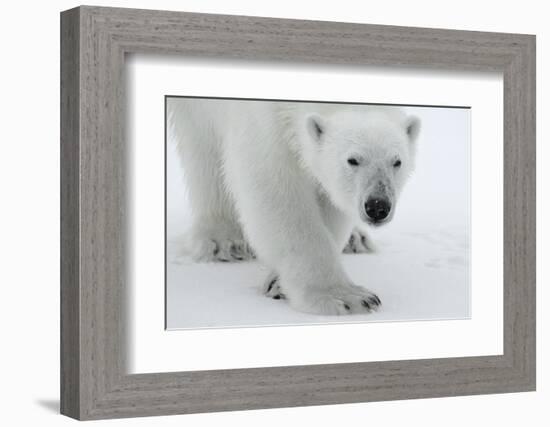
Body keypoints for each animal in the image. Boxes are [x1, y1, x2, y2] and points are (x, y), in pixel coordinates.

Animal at [170, 98, 420, 316]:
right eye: (352, 160)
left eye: (397, 162)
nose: (377, 206)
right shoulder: (260, 118)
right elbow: (274, 187)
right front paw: (345, 298)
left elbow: (328, 196)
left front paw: (278, 283)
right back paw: (224, 240)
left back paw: (356, 239)